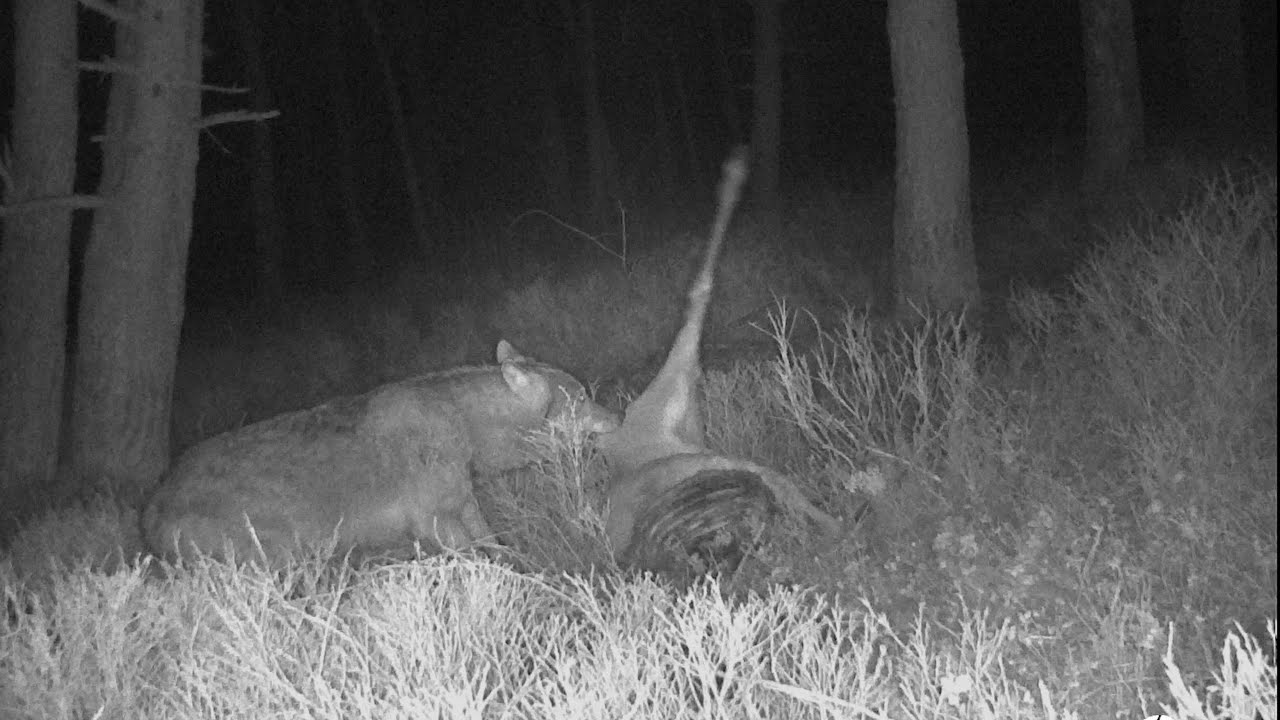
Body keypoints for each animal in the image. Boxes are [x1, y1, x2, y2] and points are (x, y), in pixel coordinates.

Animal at [142, 340, 619, 566]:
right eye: (581, 398)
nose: (619, 417)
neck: (463, 428)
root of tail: (152, 506)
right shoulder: (435, 522)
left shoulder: (465, 504)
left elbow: (501, 547)